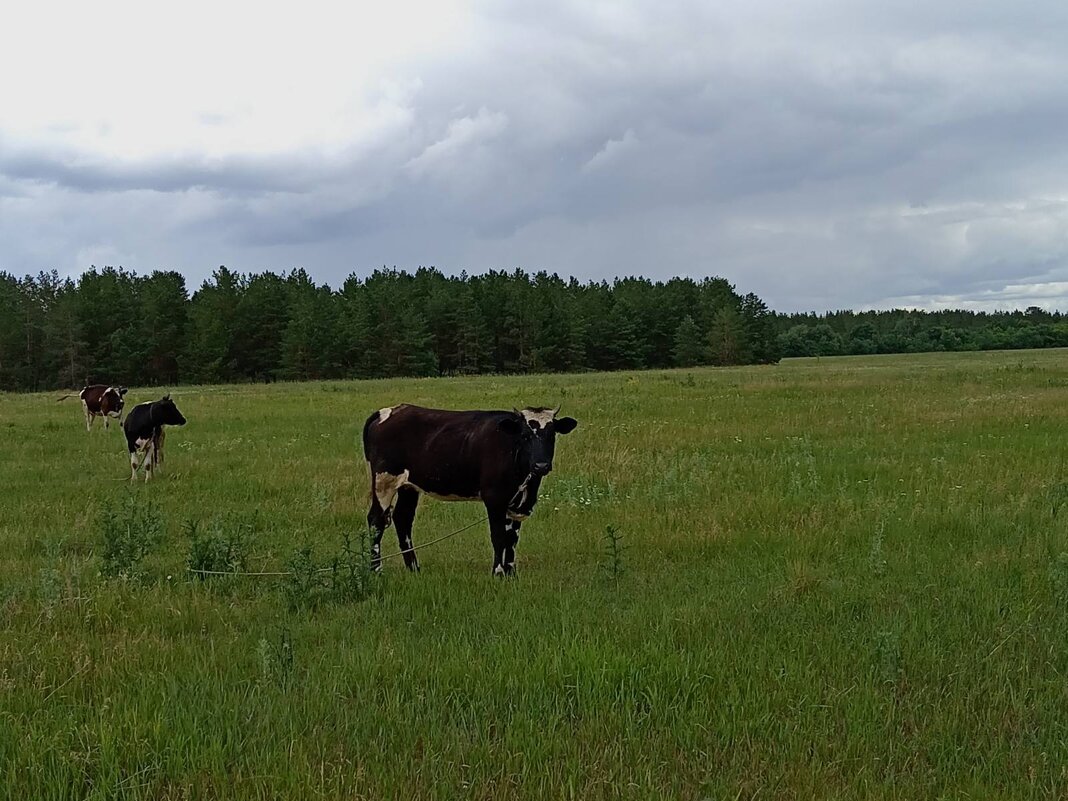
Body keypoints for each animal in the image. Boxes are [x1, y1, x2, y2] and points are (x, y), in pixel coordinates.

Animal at [360, 407, 580, 576]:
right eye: (525, 436)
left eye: (552, 436)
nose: (541, 465)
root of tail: (388, 411)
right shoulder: (494, 499)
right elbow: (499, 536)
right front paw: (498, 572)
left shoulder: (518, 504)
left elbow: (512, 538)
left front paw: (511, 572)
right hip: (384, 481)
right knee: (376, 520)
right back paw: (376, 570)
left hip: (408, 487)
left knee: (403, 519)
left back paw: (414, 568)